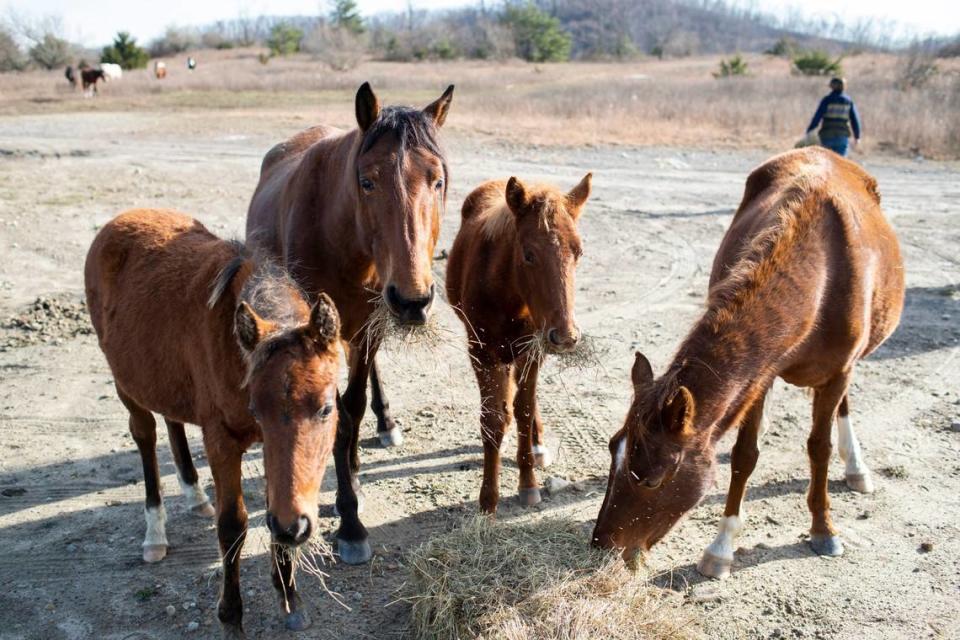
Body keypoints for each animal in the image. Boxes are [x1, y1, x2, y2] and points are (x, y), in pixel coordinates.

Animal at [84, 209, 344, 632]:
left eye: (325, 408)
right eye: (256, 410)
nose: (296, 527)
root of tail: (119, 221)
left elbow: (272, 506)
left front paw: (289, 595)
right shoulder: (222, 439)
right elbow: (233, 526)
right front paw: (232, 615)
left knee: (171, 422)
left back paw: (194, 494)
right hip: (127, 387)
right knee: (145, 435)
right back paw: (154, 532)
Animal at [248, 82, 458, 564]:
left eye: (437, 180)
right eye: (367, 181)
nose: (413, 299)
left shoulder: (367, 327)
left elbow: (353, 407)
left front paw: (352, 507)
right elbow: (336, 414)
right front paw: (350, 520)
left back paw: (383, 426)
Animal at [448, 172, 592, 512]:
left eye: (578, 252)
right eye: (528, 254)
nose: (565, 336)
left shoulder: (532, 351)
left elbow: (524, 410)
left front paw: (528, 484)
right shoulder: (481, 354)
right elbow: (493, 419)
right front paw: (488, 500)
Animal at [588, 148, 904, 576]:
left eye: (651, 480)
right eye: (611, 449)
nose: (600, 544)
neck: (821, 276)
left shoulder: (837, 371)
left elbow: (818, 448)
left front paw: (823, 528)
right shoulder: (760, 376)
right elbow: (744, 455)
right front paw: (721, 547)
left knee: (841, 407)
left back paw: (855, 466)